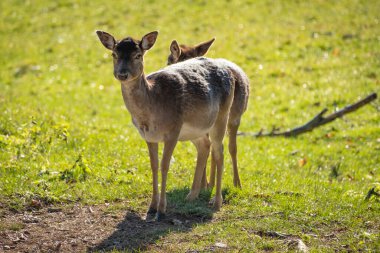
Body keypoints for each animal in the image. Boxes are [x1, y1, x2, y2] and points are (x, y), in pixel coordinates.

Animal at [166, 38, 249, 190]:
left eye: (169, 60)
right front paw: (204, 184)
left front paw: (202, 185)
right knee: (216, 147)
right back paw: (212, 184)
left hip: (234, 116)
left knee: (230, 147)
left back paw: (236, 183)